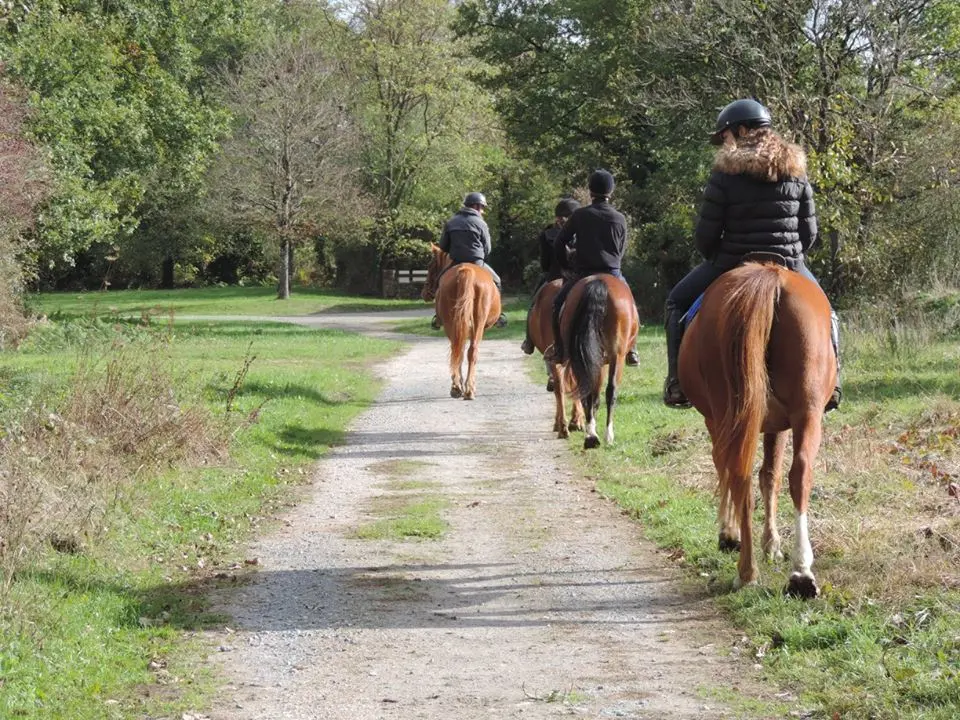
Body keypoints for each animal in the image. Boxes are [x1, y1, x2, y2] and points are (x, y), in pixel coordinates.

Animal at [426, 246, 506, 400]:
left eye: (430, 266)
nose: (425, 293)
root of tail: (466, 270)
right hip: (477, 322)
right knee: (470, 351)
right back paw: (467, 389)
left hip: (453, 324)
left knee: (457, 350)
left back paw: (458, 388)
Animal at [560, 274, 640, 450]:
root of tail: (599, 281)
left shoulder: (595, 361)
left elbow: (593, 396)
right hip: (617, 355)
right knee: (611, 391)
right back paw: (607, 435)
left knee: (587, 390)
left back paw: (591, 435)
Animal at [680, 262, 836, 600]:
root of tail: (769, 276)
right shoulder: (777, 424)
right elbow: (770, 476)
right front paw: (771, 544)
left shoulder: (718, 422)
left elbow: (735, 472)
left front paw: (730, 534)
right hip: (807, 411)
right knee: (799, 473)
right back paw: (800, 573)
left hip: (729, 414)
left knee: (739, 474)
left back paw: (747, 571)